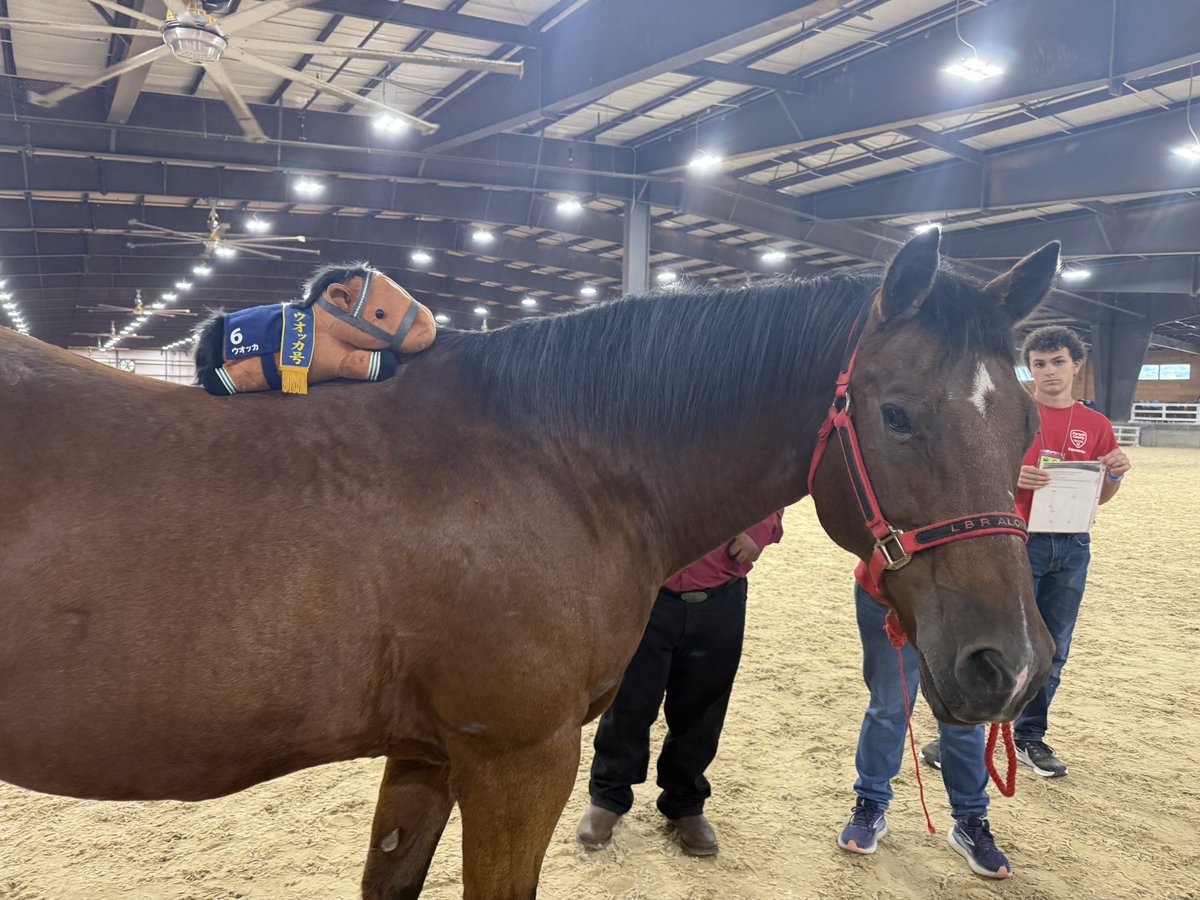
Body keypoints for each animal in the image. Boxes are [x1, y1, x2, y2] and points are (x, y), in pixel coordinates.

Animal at [193, 262, 437, 395]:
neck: (326, 327)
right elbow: (374, 363)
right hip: (250, 370)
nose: (428, 325)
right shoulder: (339, 360)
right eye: (380, 313)